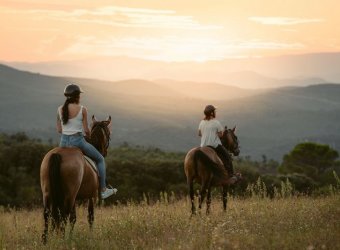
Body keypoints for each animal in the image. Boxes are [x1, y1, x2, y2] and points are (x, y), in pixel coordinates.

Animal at [39, 114, 111, 242]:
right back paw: (62, 240)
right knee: (63, 217)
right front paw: (90, 237)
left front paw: (71, 237)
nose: (105, 152)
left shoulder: (75, 198)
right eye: (109, 134)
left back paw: (45, 241)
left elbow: (73, 218)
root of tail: (57, 154)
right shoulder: (91, 196)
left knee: (48, 215)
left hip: (48, 193)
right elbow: (90, 217)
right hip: (69, 196)